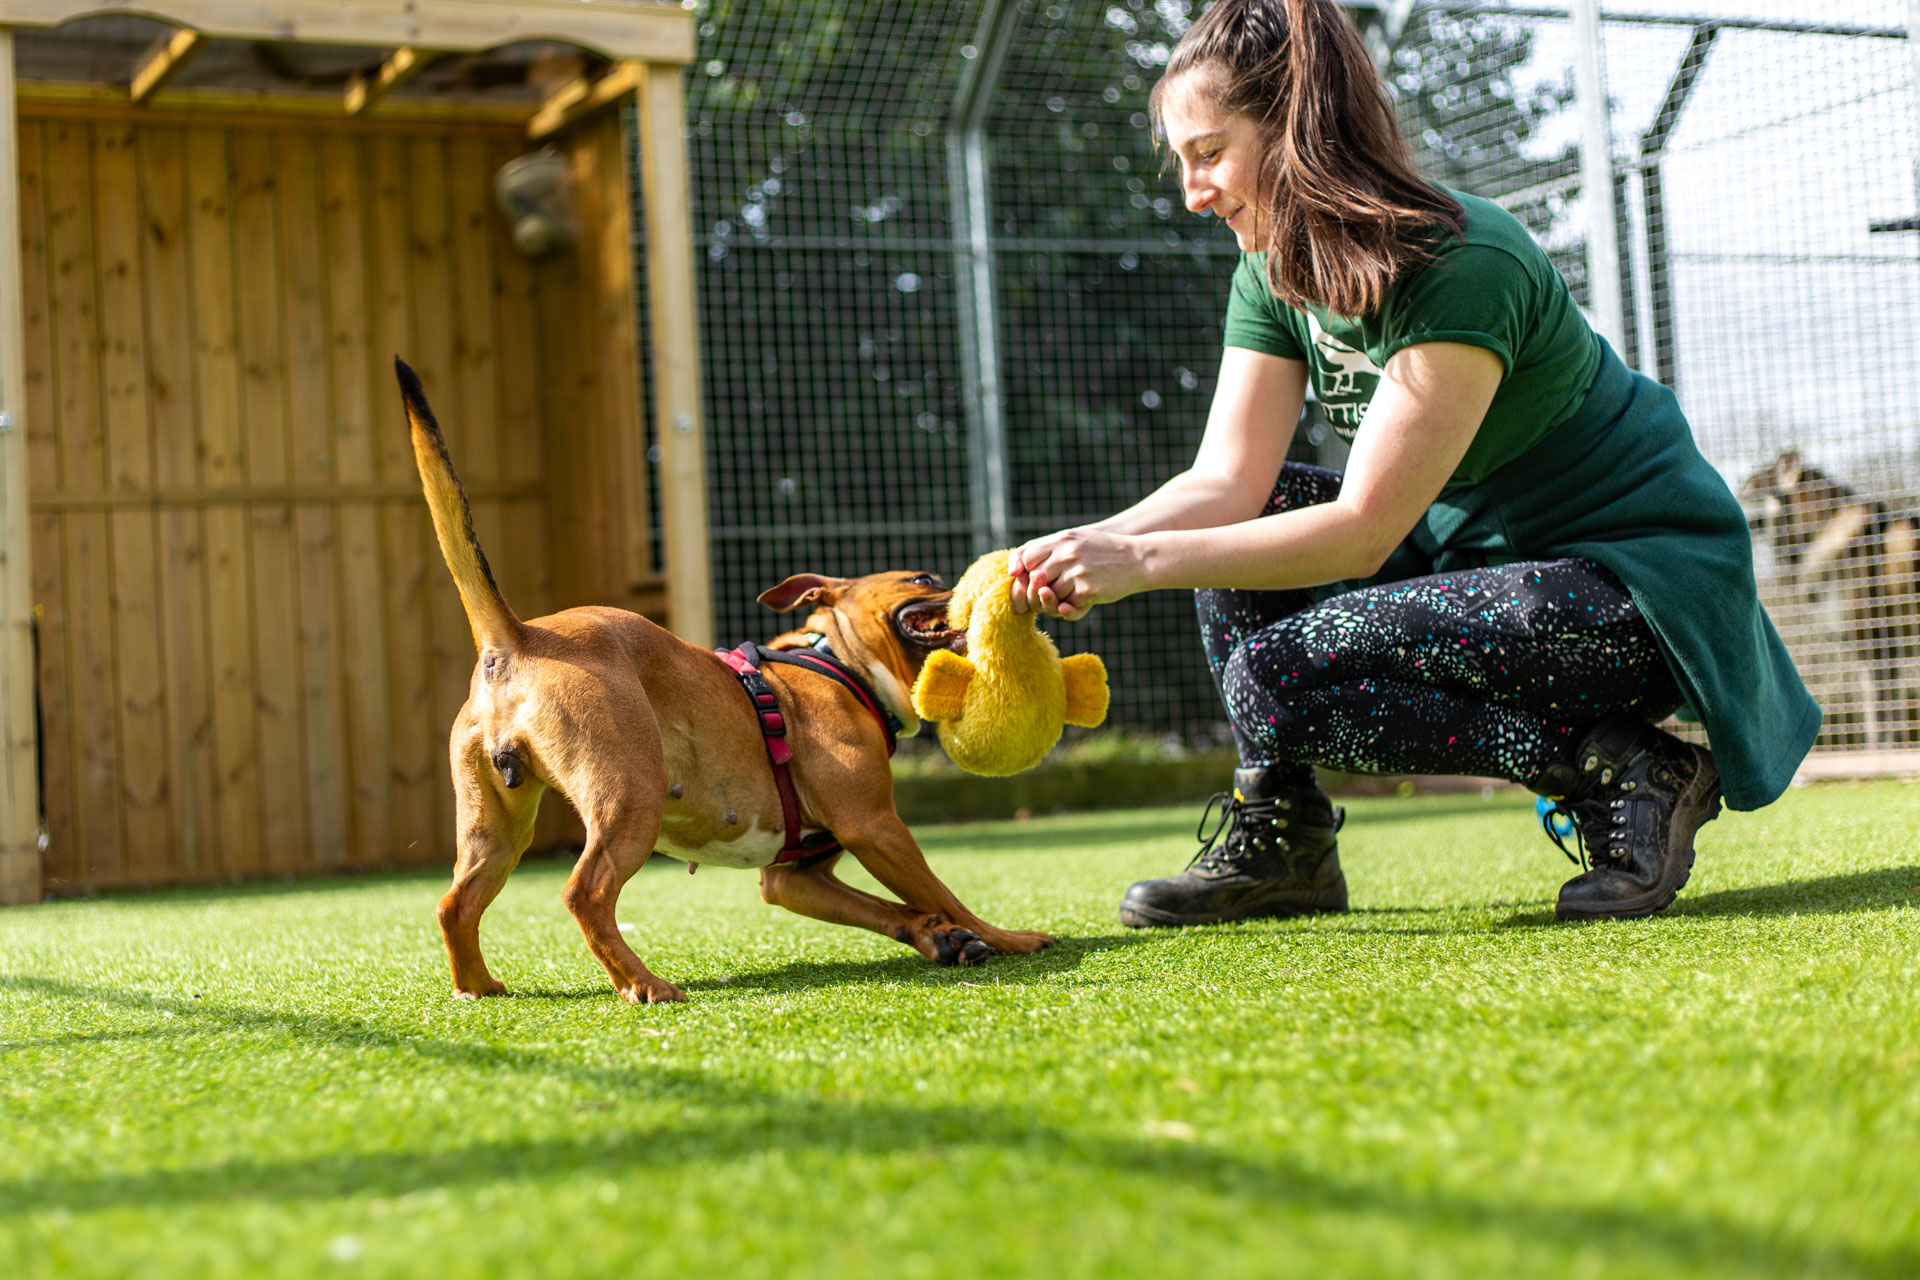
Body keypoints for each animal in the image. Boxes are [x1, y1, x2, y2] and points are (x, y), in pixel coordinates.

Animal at [1751, 454, 1912, 744]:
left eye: (1752, 486)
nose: (1740, 484)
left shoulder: (1871, 644)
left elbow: (1877, 710)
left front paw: (1882, 747)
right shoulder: (1885, 647)